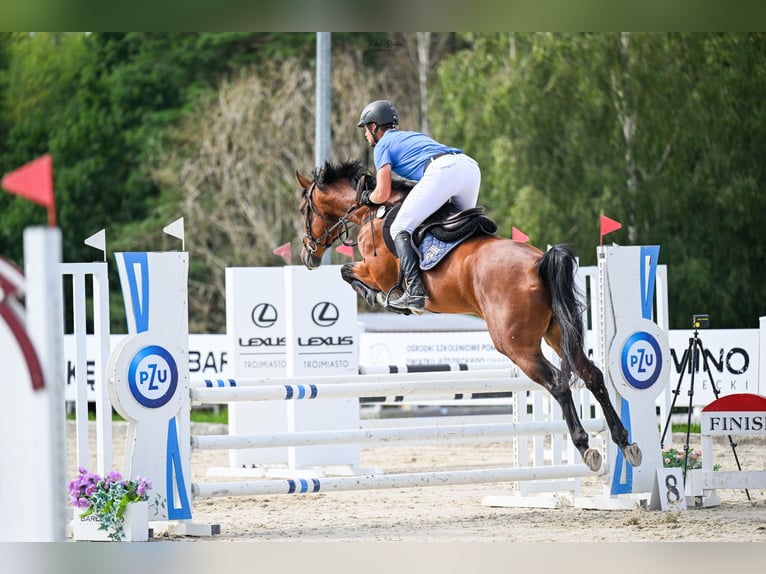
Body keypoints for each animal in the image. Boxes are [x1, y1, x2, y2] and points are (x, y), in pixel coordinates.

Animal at [296, 160, 644, 474]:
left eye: (303, 210)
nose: (307, 255)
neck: (371, 210)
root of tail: (538, 263)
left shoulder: (376, 271)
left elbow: (347, 271)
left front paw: (386, 299)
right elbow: (347, 272)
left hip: (516, 346)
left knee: (558, 383)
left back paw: (586, 446)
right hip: (557, 334)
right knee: (592, 374)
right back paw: (625, 441)